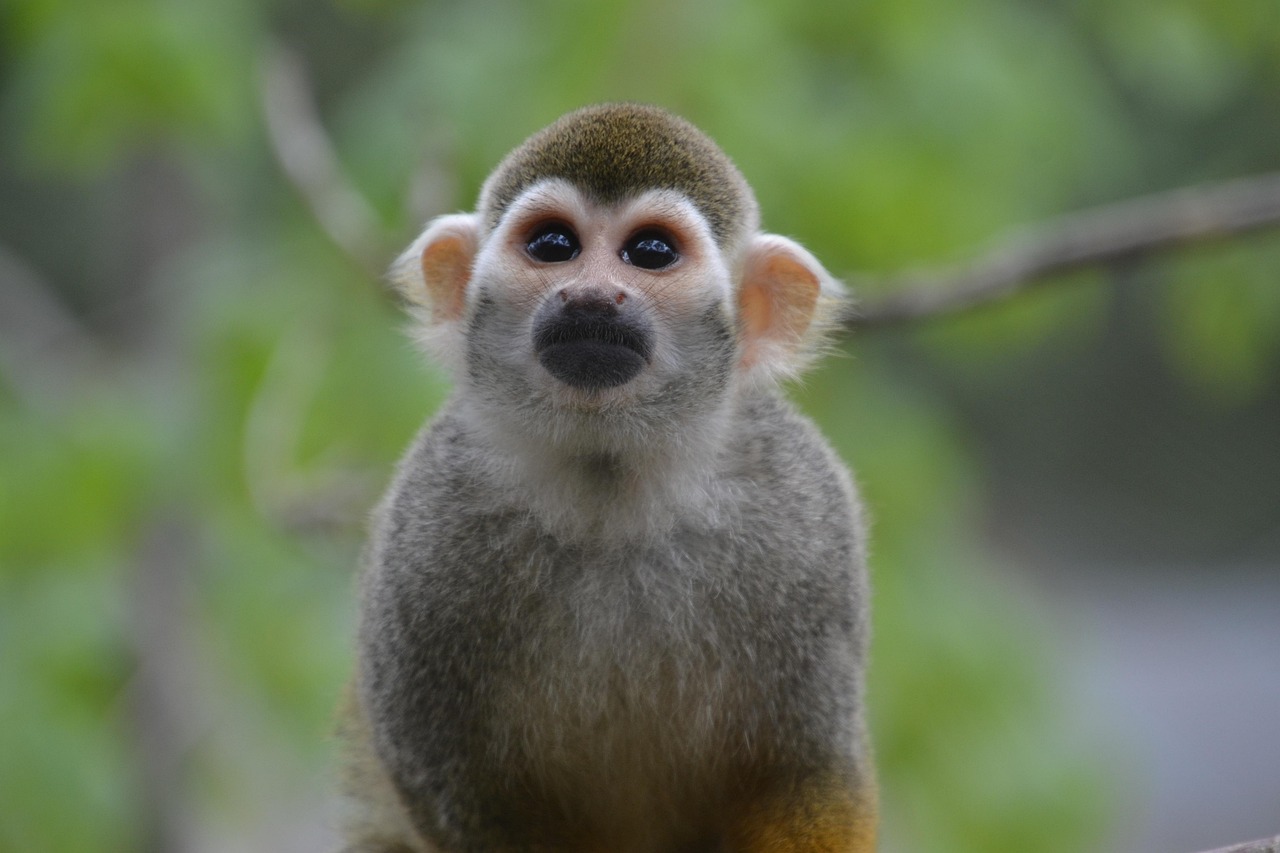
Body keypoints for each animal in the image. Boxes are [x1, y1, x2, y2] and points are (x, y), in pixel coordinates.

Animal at [338, 103, 875, 853]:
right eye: (554, 245)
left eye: (650, 253)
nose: (590, 296)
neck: (609, 491)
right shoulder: (425, 531)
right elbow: (454, 791)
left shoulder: (804, 517)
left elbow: (807, 776)